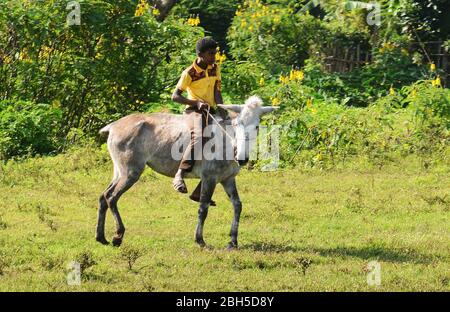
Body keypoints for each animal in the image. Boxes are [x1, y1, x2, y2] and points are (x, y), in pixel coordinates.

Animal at [96, 95, 276, 249]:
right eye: (237, 124)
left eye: (257, 126)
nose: (242, 158)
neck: (226, 142)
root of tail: (113, 126)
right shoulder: (209, 178)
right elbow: (203, 208)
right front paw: (200, 240)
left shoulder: (228, 179)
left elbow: (237, 205)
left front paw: (233, 241)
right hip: (130, 172)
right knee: (112, 197)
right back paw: (118, 236)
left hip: (119, 171)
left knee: (104, 196)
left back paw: (101, 237)